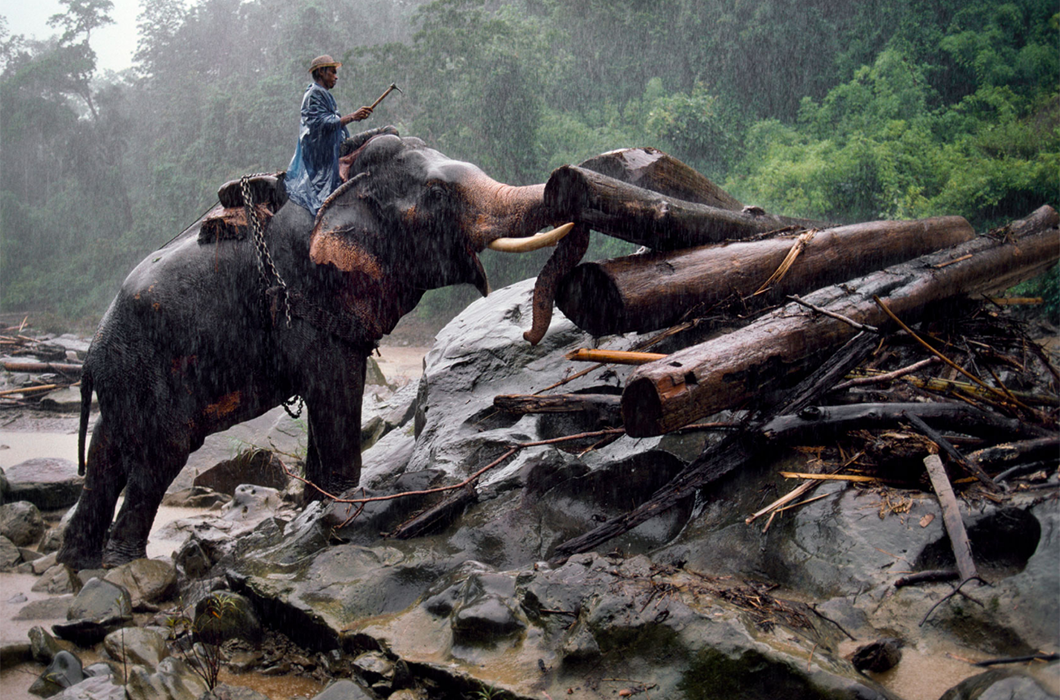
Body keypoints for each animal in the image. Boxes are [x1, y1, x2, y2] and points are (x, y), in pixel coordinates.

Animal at [56, 134, 572, 572]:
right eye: (437, 193)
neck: (347, 177)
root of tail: (90, 355)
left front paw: (311, 508)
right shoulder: (306, 295)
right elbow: (334, 386)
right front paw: (344, 508)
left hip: (125, 378)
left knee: (106, 454)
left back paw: (78, 564)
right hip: (147, 371)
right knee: (161, 454)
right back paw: (125, 567)